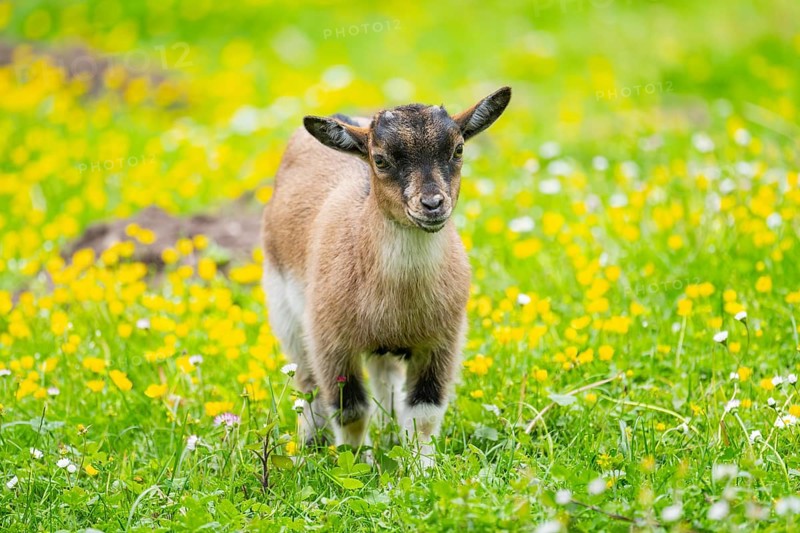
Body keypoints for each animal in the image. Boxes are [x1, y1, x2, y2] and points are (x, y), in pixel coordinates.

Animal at [262, 87, 511, 465]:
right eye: (380, 160)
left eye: (458, 149)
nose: (432, 204)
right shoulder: (330, 342)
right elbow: (349, 411)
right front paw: (355, 464)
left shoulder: (441, 342)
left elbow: (424, 412)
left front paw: (422, 468)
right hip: (286, 314)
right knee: (306, 384)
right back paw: (309, 444)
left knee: (386, 380)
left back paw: (391, 434)